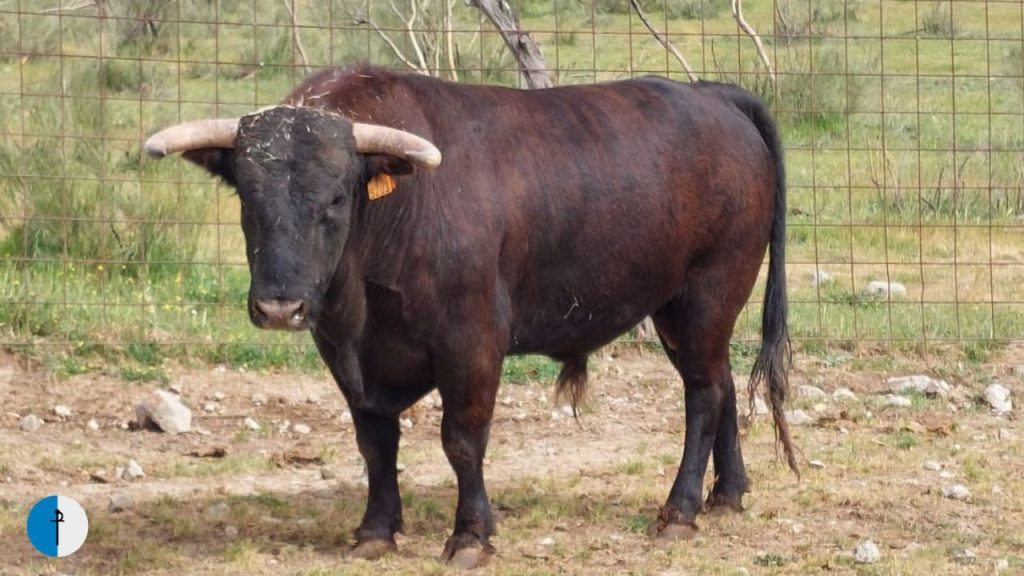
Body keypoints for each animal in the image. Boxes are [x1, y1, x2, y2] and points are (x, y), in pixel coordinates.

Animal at [144, 65, 796, 568]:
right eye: (248, 199)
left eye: (336, 198)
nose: (280, 305)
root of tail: (713, 94)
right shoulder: (344, 349)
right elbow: (374, 442)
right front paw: (376, 531)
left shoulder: (472, 342)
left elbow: (461, 440)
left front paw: (470, 536)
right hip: (676, 309)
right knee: (719, 382)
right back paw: (727, 494)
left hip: (711, 288)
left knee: (703, 393)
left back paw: (680, 510)